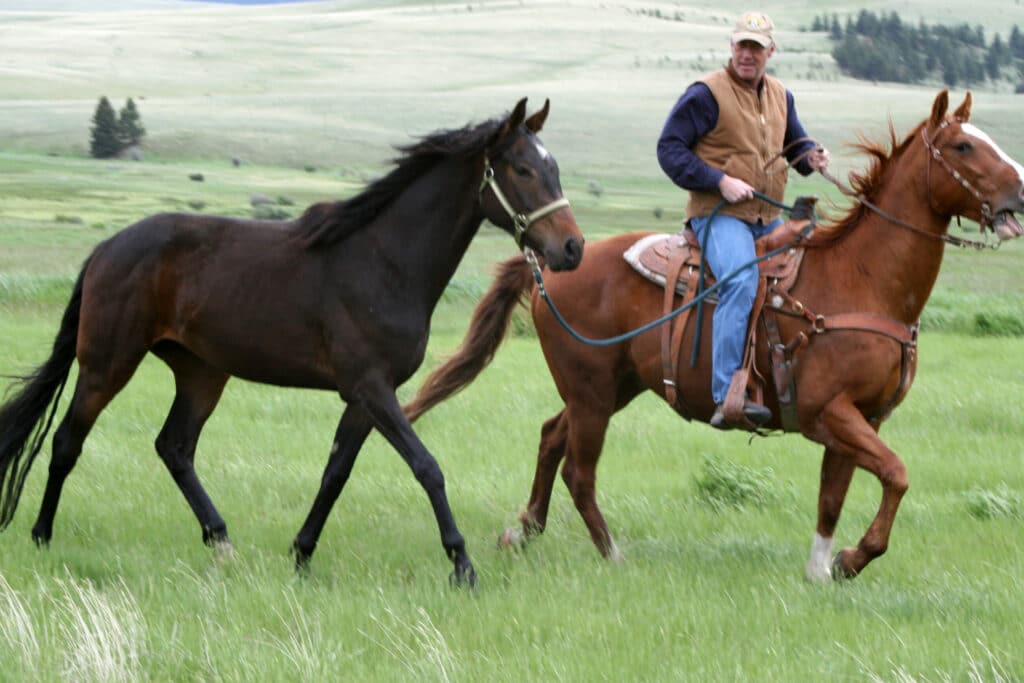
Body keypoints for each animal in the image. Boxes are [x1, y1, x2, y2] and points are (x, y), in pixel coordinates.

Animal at [0, 98, 584, 586]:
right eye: (523, 169)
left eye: (554, 167)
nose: (572, 249)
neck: (384, 262)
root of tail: (106, 248)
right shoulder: (372, 388)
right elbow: (428, 468)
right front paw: (461, 564)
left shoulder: (365, 397)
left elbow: (335, 473)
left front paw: (301, 554)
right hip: (108, 363)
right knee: (67, 442)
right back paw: (42, 537)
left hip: (201, 373)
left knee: (174, 447)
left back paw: (221, 542)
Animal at [404, 90, 1024, 581]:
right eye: (963, 147)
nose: (1019, 194)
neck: (861, 280)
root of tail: (552, 265)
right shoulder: (830, 413)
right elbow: (896, 474)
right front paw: (853, 559)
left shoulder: (859, 419)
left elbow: (833, 496)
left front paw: (822, 568)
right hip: (592, 391)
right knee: (579, 469)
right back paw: (611, 554)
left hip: (612, 387)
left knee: (551, 436)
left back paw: (525, 529)